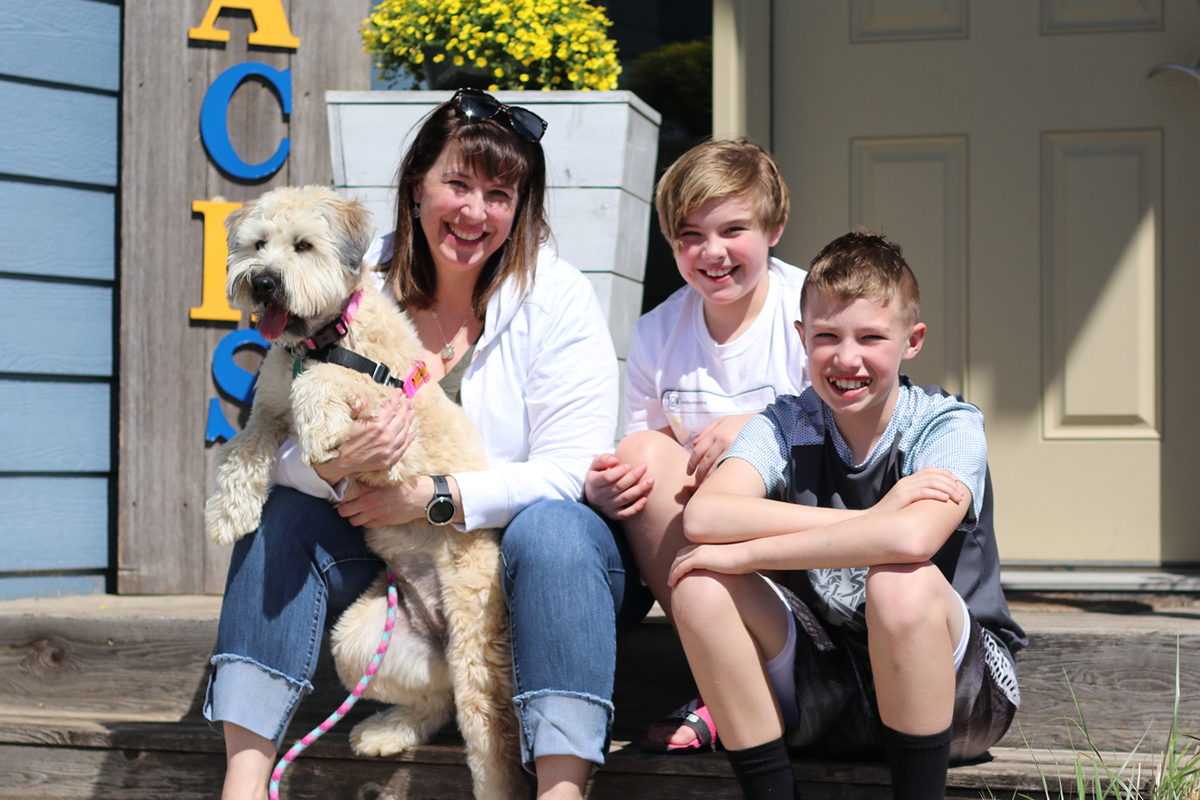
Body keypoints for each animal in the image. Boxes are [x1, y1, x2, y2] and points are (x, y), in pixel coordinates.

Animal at [204, 185, 523, 800]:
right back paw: (386, 732)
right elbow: (241, 451)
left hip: (478, 645)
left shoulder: (388, 402)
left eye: (303, 246)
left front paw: (320, 428)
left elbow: (328, 381)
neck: (319, 339)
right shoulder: (267, 413)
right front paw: (228, 511)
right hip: (356, 641)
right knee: (436, 700)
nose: (264, 282)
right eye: (257, 244)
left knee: (485, 732)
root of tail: (439, 627)